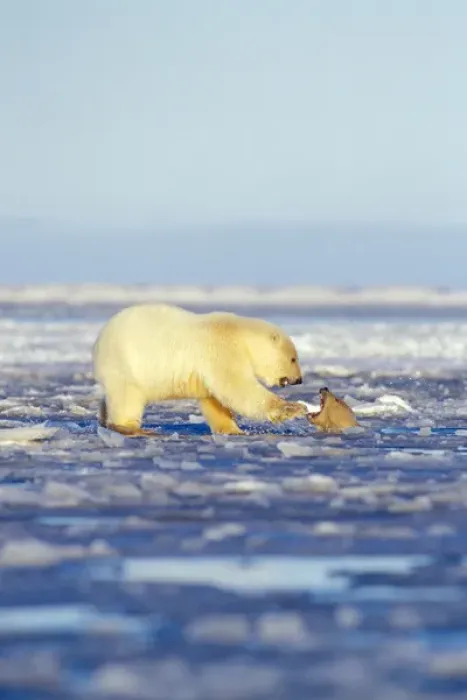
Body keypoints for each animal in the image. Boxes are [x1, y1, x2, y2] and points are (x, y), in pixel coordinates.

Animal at [92, 303, 308, 437]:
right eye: (293, 358)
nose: (298, 379)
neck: (242, 336)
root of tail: (99, 341)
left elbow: (213, 400)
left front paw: (232, 429)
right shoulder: (223, 348)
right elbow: (238, 387)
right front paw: (295, 408)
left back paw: (103, 417)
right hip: (126, 364)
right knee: (127, 398)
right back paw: (134, 429)